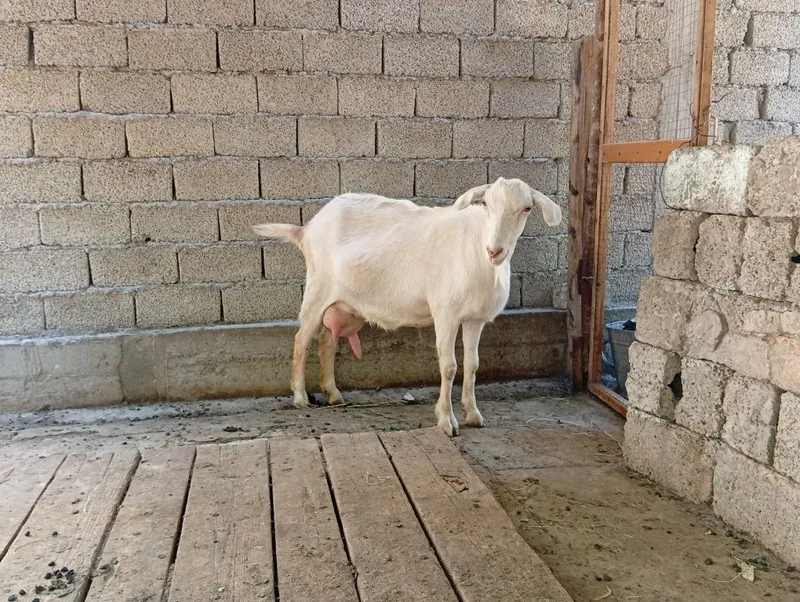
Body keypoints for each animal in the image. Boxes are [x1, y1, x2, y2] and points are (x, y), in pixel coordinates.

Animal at [253, 177, 562, 436]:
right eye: (485, 204)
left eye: (526, 209)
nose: (494, 250)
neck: (477, 252)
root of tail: (306, 229)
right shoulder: (445, 312)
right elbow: (449, 366)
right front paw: (446, 421)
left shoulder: (474, 319)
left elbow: (473, 365)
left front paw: (473, 414)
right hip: (318, 287)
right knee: (301, 340)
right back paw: (300, 398)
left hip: (342, 302)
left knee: (327, 341)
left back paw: (334, 395)